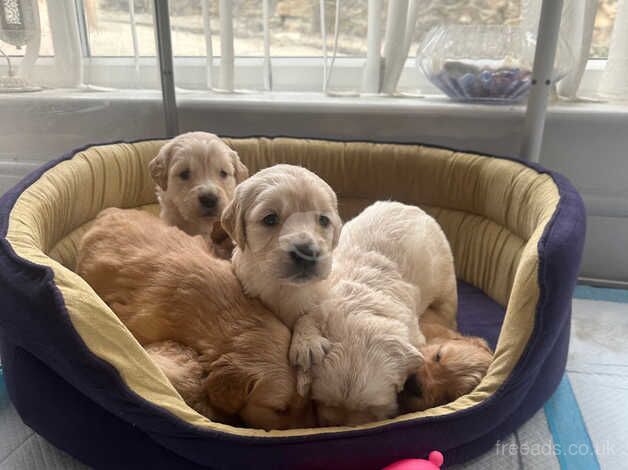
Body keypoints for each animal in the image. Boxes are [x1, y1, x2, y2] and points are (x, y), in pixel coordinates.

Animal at [292, 200, 458, 428]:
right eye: (323, 401)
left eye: (372, 409)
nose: (345, 427)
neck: (357, 314)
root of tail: (409, 206)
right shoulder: (319, 300)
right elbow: (306, 318)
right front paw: (306, 346)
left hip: (445, 277)